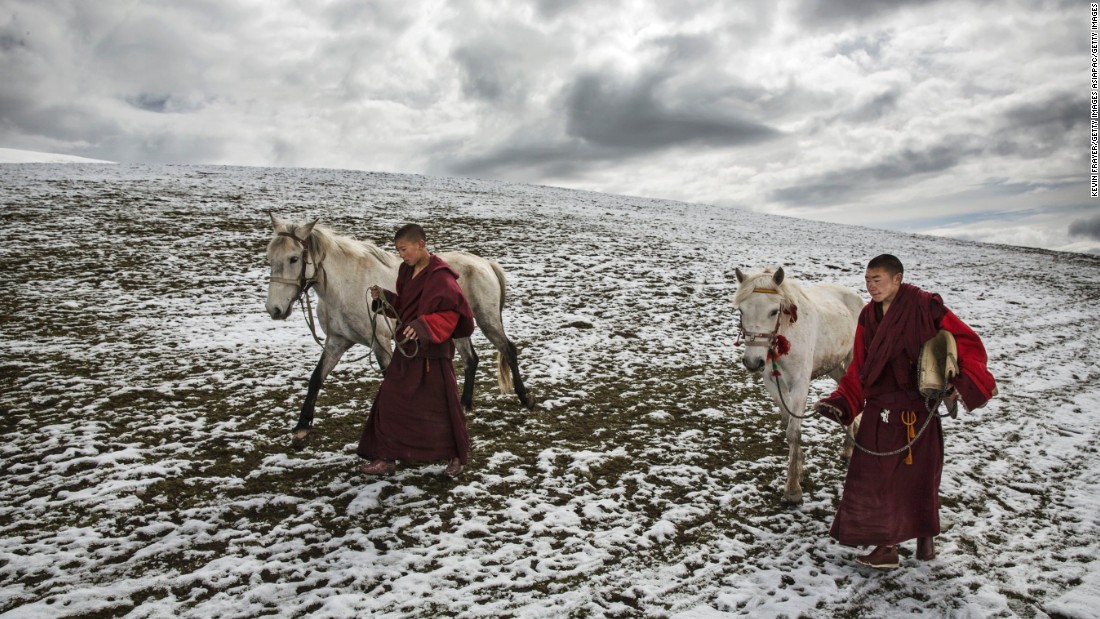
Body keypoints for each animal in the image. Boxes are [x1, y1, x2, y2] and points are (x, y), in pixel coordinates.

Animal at [264, 216, 534, 446]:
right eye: (270, 257)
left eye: (294, 258)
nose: (274, 309)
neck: (344, 287)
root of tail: (484, 263)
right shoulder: (336, 342)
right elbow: (315, 379)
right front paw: (301, 427)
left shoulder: (381, 342)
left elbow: (388, 379)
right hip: (457, 329)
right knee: (471, 359)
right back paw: (464, 404)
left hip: (488, 320)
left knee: (508, 350)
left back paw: (525, 398)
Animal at [734, 266, 862, 503]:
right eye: (741, 311)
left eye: (773, 311)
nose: (752, 362)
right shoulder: (773, 383)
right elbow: (787, 423)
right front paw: (799, 467)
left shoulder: (800, 384)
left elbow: (794, 432)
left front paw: (792, 489)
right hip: (833, 366)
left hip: (852, 361)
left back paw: (848, 449)